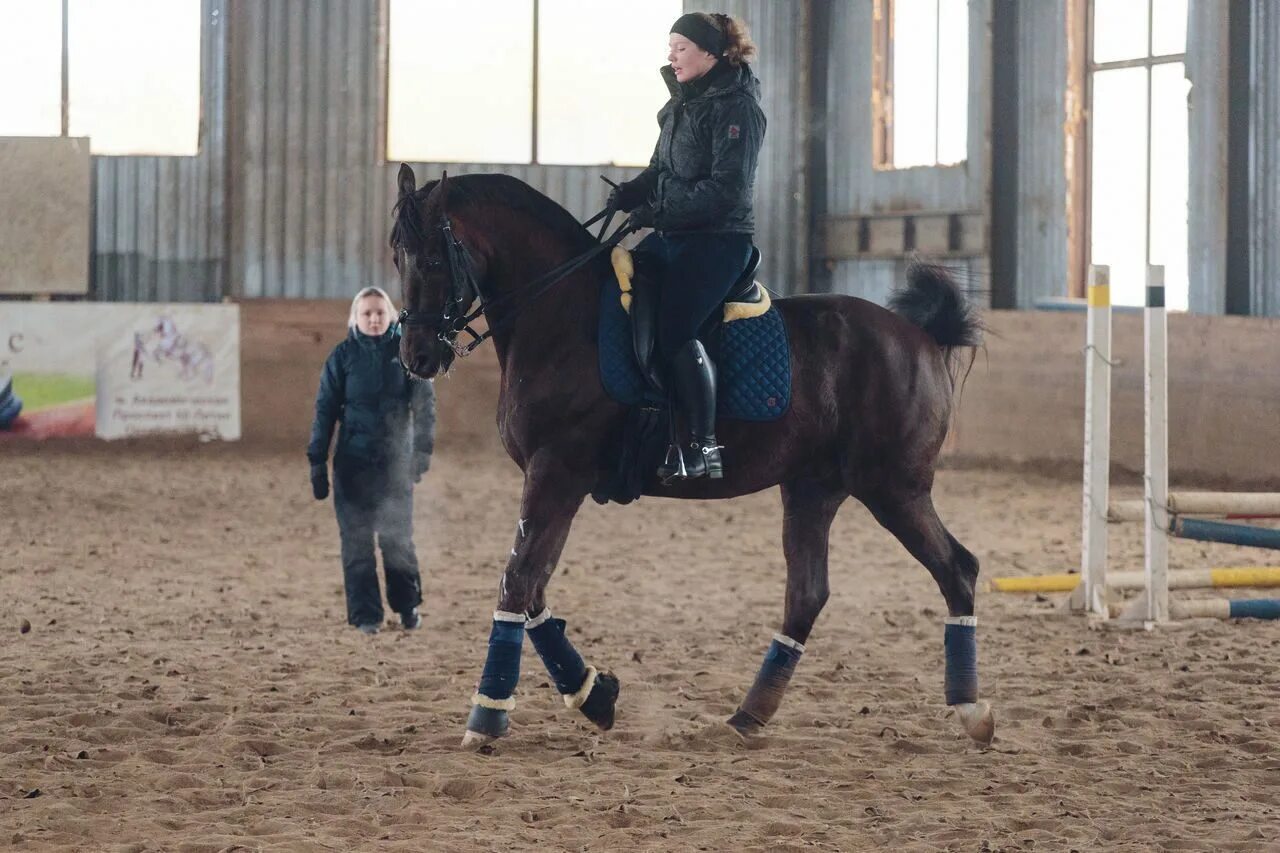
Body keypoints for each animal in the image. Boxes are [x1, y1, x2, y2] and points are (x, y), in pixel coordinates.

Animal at [394, 163, 993, 742]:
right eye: (398, 257)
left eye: (433, 258)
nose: (417, 357)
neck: (562, 314)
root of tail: (918, 335)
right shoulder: (551, 479)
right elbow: (531, 585)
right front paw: (594, 695)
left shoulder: (557, 472)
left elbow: (517, 580)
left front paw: (488, 716)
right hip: (813, 487)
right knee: (808, 593)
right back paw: (749, 715)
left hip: (893, 488)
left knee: (957, 568)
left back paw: (972, 711)